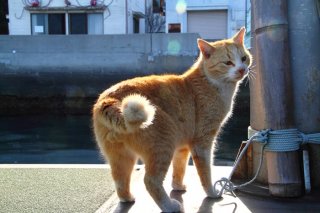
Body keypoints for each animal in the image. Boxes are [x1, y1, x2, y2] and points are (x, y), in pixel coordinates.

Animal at [92, 27, 252, 211]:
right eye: (228, 63)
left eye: (243, 58)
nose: (241, 70)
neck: (210, 83)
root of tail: (110, 98)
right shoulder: (202, 141)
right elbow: (205, 172)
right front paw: (212, 192)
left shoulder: (182, 147)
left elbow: (179, 169)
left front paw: (178, 186)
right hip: (163, 144)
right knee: (151, 181)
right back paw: (169, 205)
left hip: (121, 158)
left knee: (120, 181)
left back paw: (128, 198)